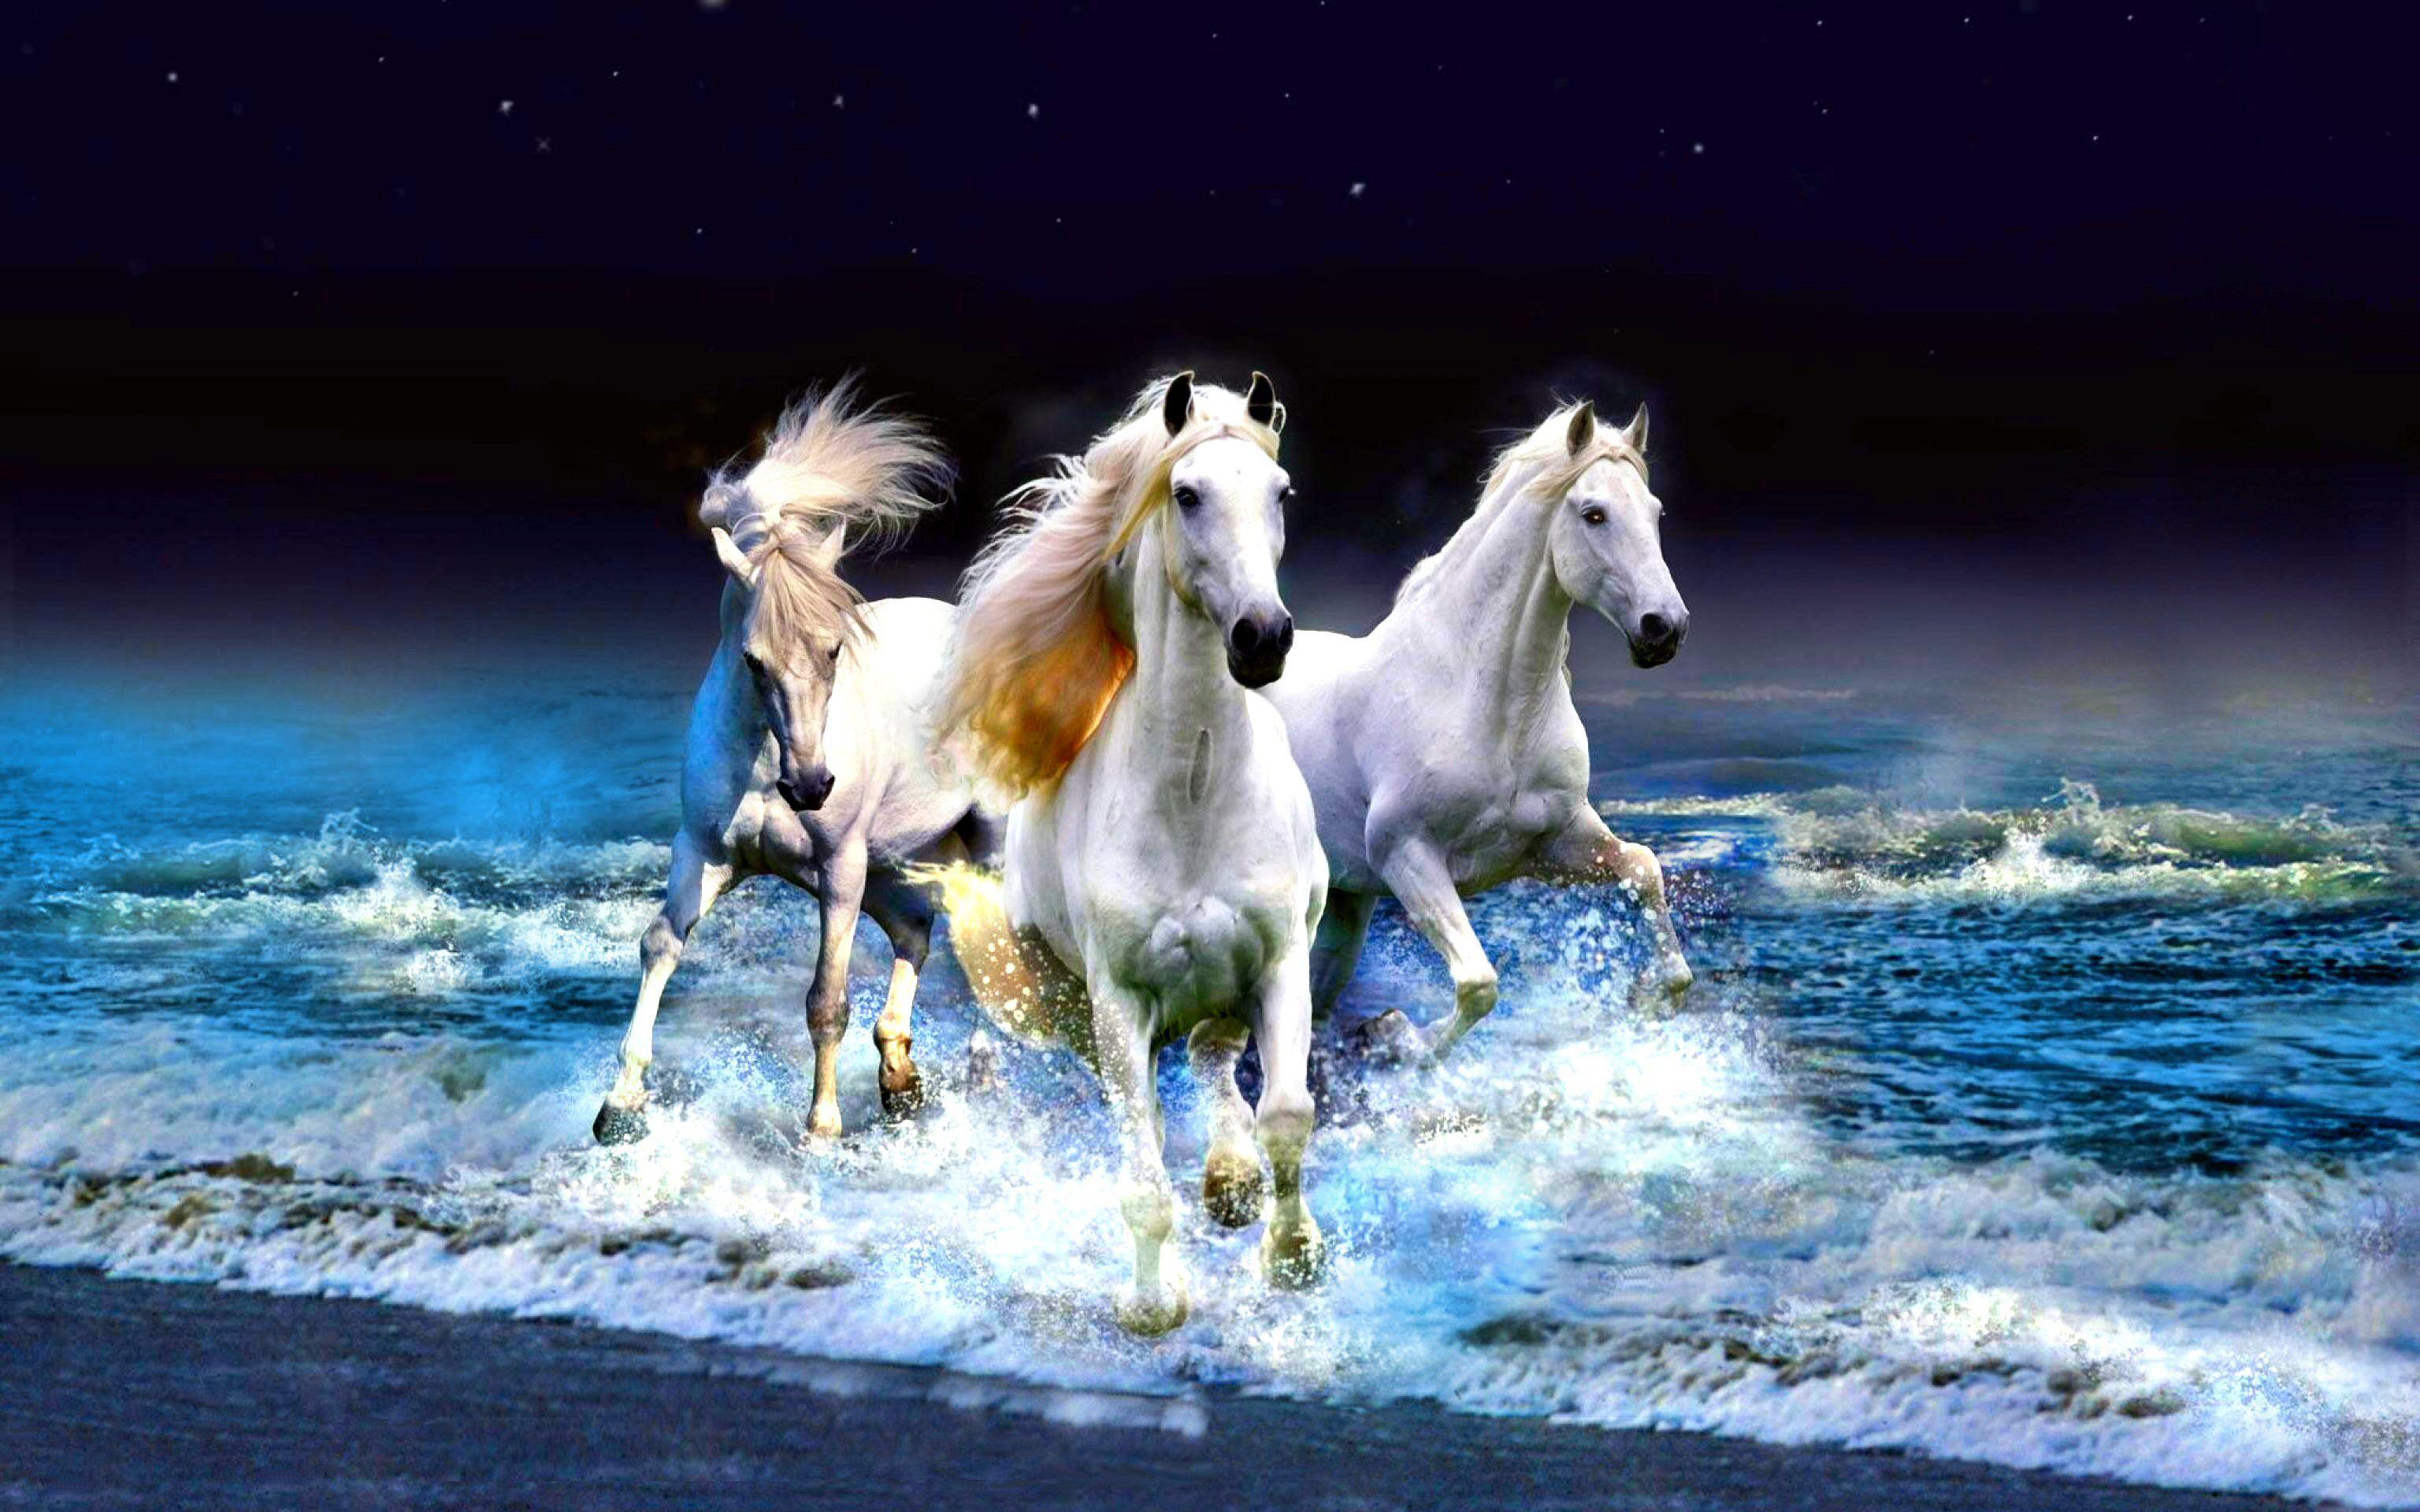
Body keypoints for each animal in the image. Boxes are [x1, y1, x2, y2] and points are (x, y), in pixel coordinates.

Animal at [592, 383, 996, 1146]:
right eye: (753, 660)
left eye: (835, 649)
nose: (810, 787)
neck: (762, 763)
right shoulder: (705, 853)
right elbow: (660, 945)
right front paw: (619, 1106)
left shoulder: (838, 868)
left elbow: (825, 999)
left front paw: (822, 1129)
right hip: (894, 862)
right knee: (916, 932)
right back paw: (900, 1078)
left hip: (980, 846)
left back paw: (981, 1070)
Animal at [926, 372, 1327, 1336]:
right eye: (1186, 494)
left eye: (1280, 494)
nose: (1263, 637)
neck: (1195, 796)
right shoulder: (1120, 1002)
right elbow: (1142, 1171)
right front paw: (1153, 1303)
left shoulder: (1279, 963)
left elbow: (1286, 1113)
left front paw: (1293, 1255)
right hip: (1078, 1007)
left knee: (1216, 1058)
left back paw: (1232, 1182)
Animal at [1259, 398, 1694, 1062]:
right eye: (1594, 514)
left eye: (1655, 511)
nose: (1664, 628)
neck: (1486, 706)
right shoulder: (1407, 856)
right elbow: (1478, 984)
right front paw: (1397, 1037)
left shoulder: (1553, 844)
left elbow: (1644, 869)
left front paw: (1646, 998)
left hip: (1345, 906)